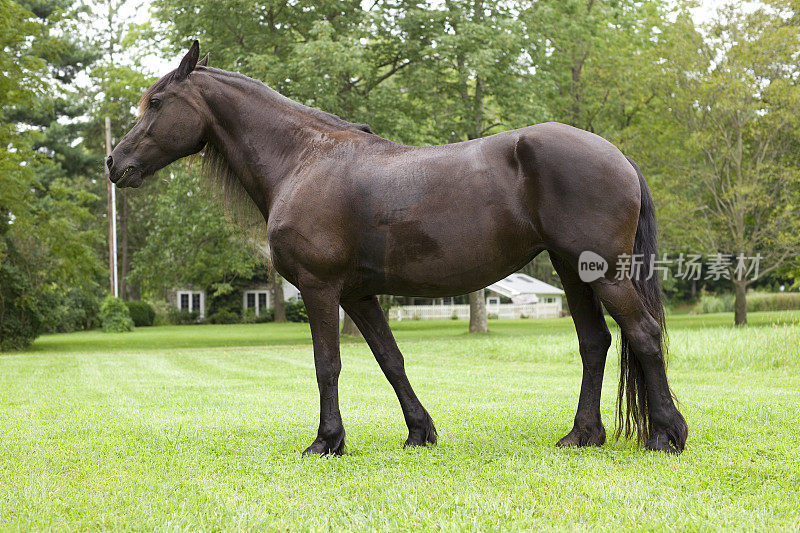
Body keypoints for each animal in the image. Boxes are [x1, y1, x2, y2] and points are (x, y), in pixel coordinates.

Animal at [108, 42, 688, 454]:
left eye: (155, 103)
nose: (115, 163)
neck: (303, 160)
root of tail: (617, 155)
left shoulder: (320, 290)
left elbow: (327, 363)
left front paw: (326, 441)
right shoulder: (358, 296)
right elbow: (391, 360)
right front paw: (419, 432)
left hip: (605, 273)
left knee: (643, 333)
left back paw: (665, 435)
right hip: (574, 273)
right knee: (595, 343)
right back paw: (582, 436)